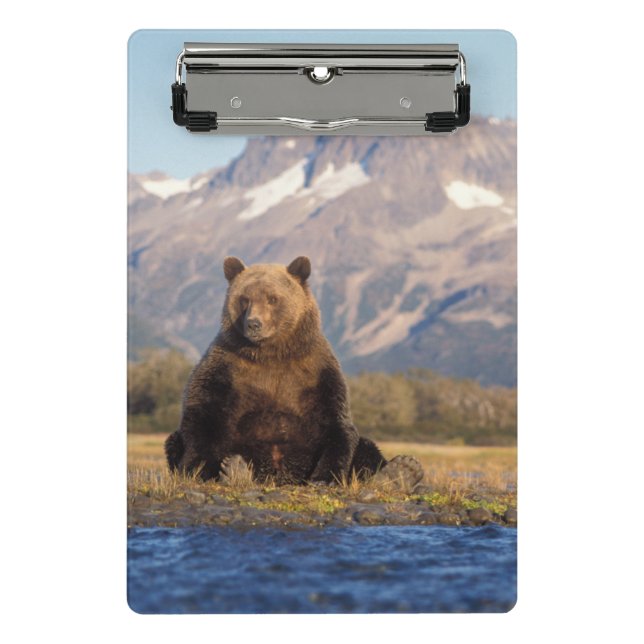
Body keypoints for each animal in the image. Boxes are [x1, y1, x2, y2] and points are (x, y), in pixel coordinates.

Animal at [165, 255, 423, 490]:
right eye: (244, 299)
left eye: (273, 298)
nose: (254, 324)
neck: (270, 353)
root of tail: (281, 478)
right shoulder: (226, 368)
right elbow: (203, 416)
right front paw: (200, 469)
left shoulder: (316, 372)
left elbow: (335, 424)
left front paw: (324, 478)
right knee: (174, 440)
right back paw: (235, 470)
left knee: (366, 447)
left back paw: (402, 470)